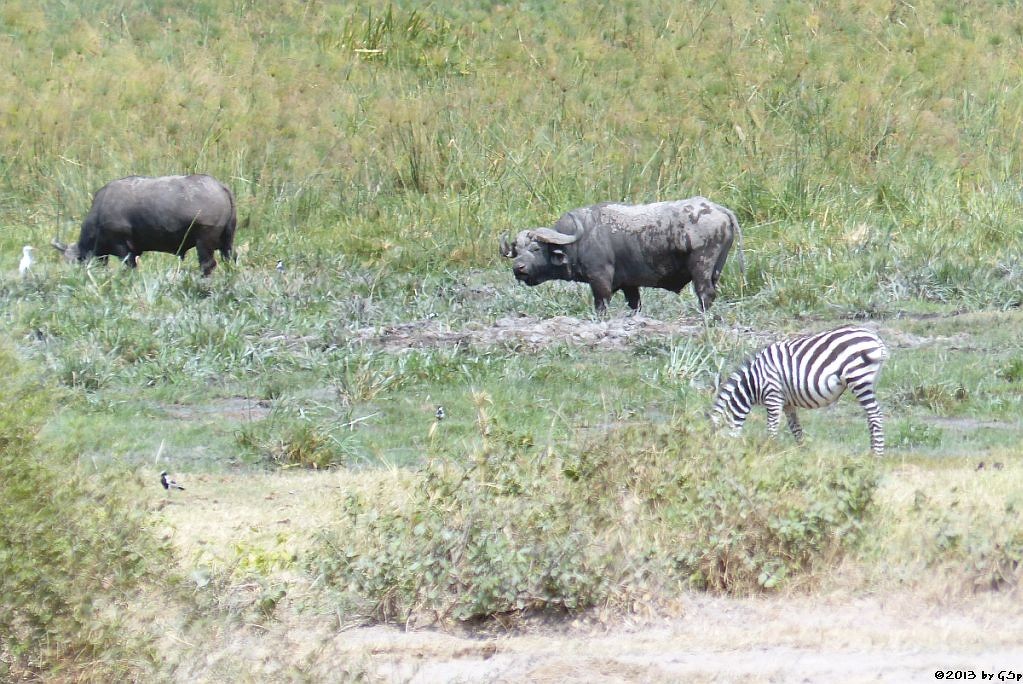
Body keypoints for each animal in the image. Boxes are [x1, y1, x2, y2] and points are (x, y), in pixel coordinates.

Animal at [56, 174, 239, 276]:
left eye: (75, 261)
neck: (100, 211)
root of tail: (220, 187)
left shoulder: (123, 248)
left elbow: (130, 267)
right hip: (226, 242)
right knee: (230, 258)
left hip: (204, 241)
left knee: (207, 265)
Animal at [497, 196, 744, 312]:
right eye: (517, 250)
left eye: (536, 248)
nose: (518, 268)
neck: (580, 239)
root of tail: (719, 210)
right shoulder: (629, 286)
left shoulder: (600, 281)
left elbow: (601, 306)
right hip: (716, 269)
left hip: (701, 265)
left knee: (705, 294)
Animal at [712, 325, 887, 453]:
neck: (753, 383)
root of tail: (875, 338)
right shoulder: (787, 402)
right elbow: (795, 428)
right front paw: (802, 450)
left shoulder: (773, 395)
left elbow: (772, 427)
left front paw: (769, 448)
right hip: (869, 381)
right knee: (871, 418)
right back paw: (872, 452)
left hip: (858, 378)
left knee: (876, 416)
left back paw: (877, 455)